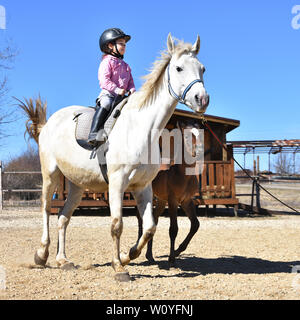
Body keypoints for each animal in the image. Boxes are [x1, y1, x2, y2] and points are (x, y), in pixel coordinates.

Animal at [19, 33, 210, 282]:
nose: (202, 99)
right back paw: (42, 255)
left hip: (77, 186)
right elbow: (117, 225)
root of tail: (49, 123)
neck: (141, 128)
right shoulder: (118, 184)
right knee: (45, 210)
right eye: (179, 68)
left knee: (63, 217)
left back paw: (63, 261)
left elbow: (149, 227)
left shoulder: (143, 187)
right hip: (50, 175)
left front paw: (128, 255)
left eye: (202, 69)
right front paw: (119, 267)